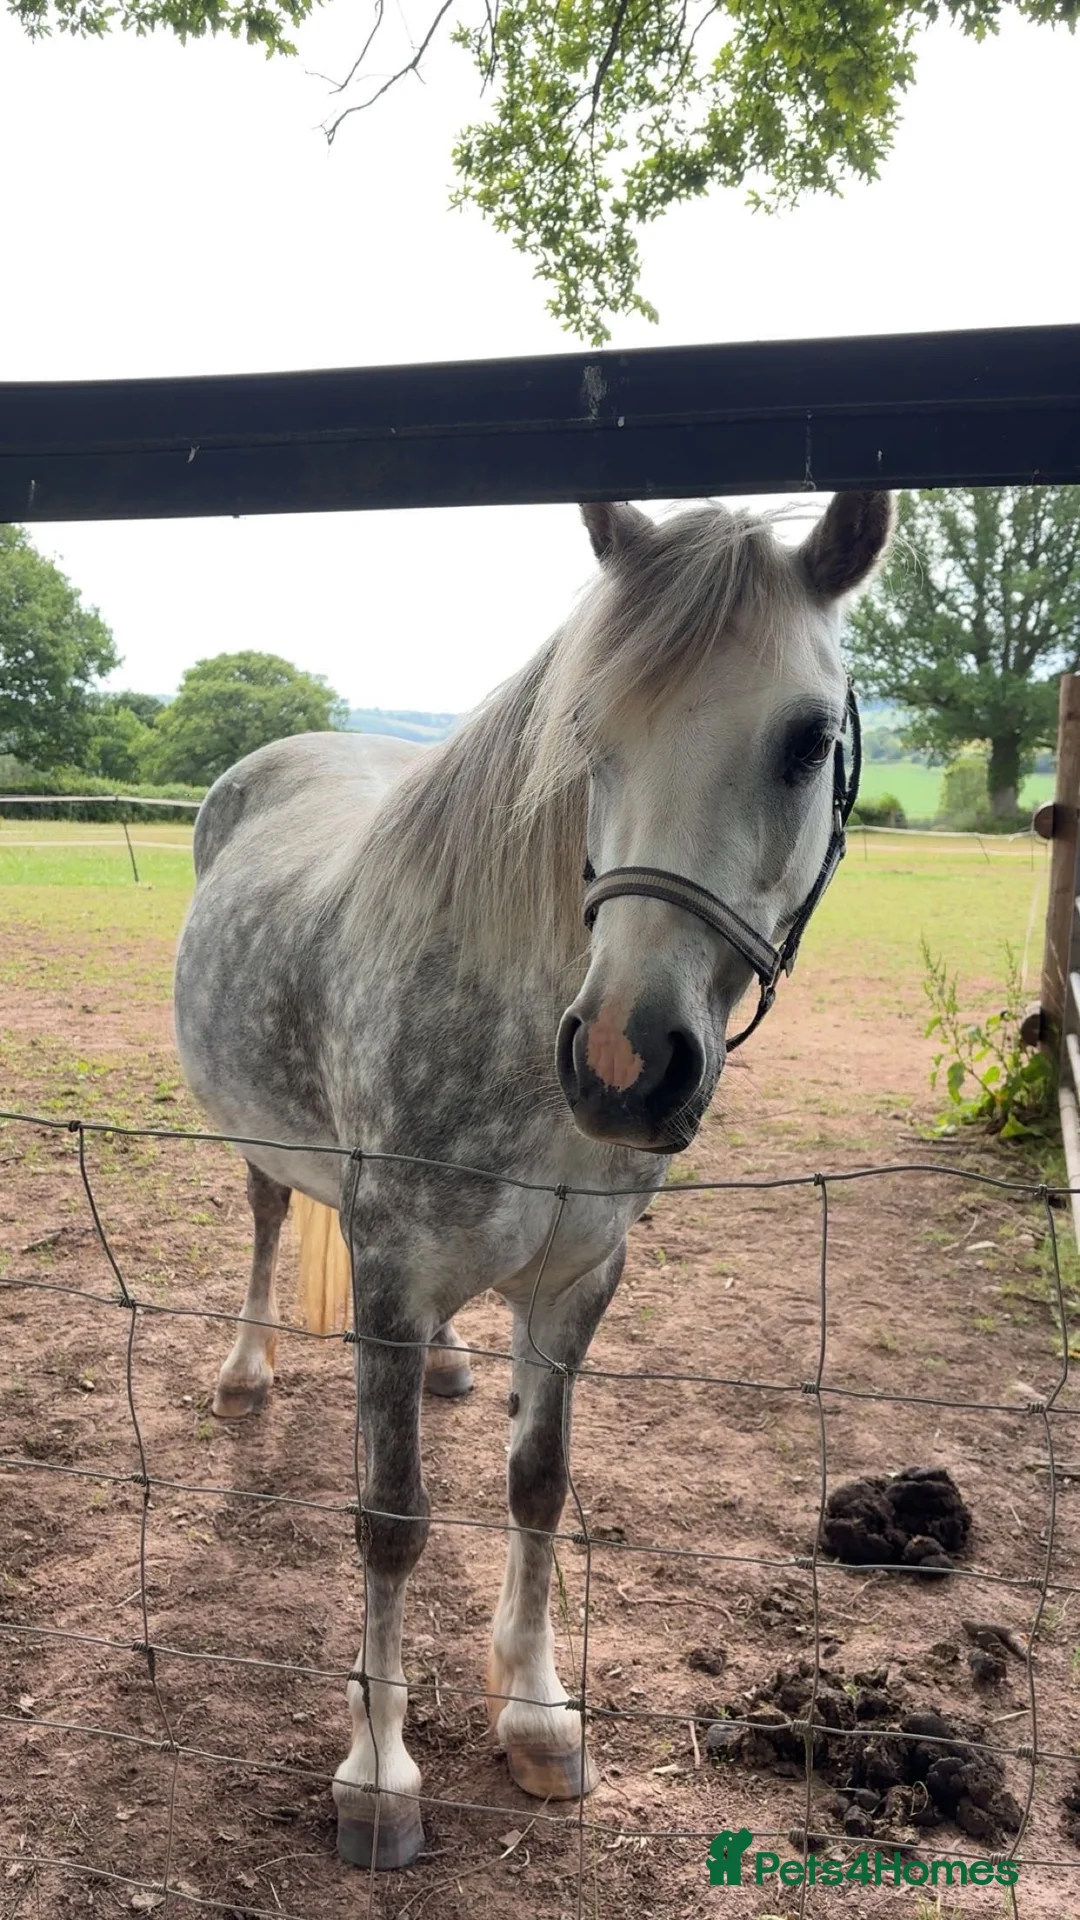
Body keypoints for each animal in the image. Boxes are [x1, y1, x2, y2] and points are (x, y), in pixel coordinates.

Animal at [172, 489, 894, 1871]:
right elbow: (391, 1518)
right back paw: (246, 1371)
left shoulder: (578, 1281)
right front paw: (379, 1773)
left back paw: (454, 1365)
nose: (624, 1062)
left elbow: (539, 1487)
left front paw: (539, 1711)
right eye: (585, 734)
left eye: (806, 739)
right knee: (267, 1214)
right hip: (262, 1147)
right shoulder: (391, 1275)